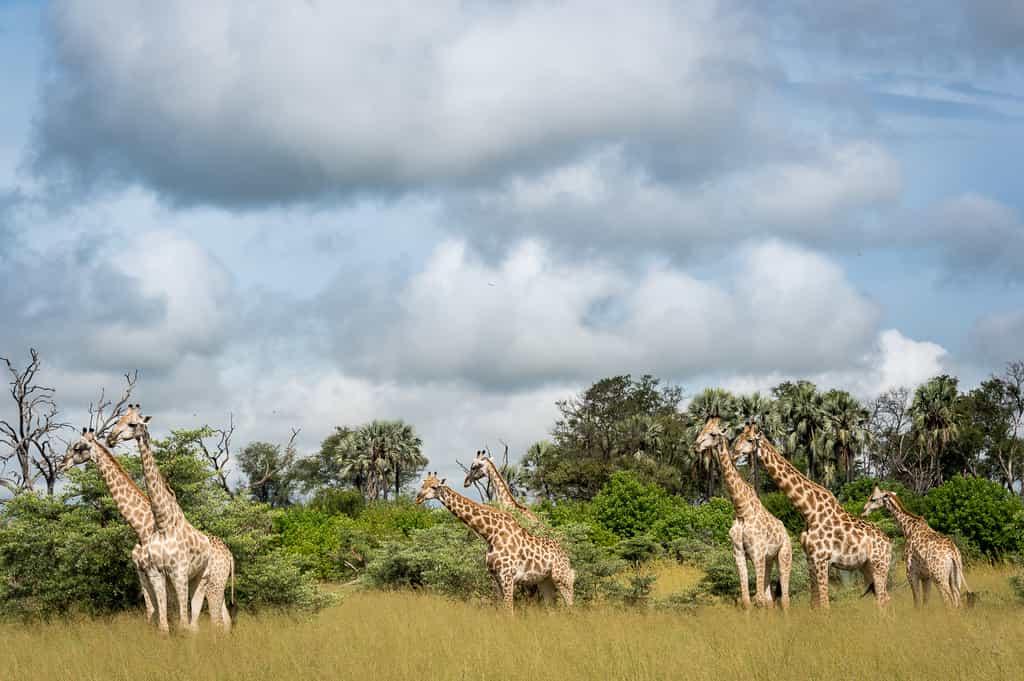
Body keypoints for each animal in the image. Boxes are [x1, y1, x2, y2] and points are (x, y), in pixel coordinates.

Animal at [106, 404, 235, 633]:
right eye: (118, 420)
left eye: (133, 424)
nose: (110, 438)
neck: (162, 523)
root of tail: (229, 554)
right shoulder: (152, 572)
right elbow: (163, 620)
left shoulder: (176, 573)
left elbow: (179, 621)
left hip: (211, 582)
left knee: (213, 620)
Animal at [415, 472, 574, 611]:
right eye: (423, 484)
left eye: (434, 487)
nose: (418, 498)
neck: (490, 534)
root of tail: (566, 555)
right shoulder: (495, 577)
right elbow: (500, 609)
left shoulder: (507, 575)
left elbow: (509, 610)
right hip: (545, 581)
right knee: (552, 608)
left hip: (562, 579)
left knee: (571, 606)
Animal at [696, 418, 791, 609]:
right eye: (702, 429)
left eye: (713, 434)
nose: (696, 446)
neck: (742, 511)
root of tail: (787, 533)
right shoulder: (739, 554)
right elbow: (746, 599)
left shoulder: (757, 553)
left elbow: (758, 599)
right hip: (769, 559)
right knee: (770, 599)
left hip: (784, 555)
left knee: (784, 599)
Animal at [734, 423, 892, 609]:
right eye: (738, 437)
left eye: (749, 439)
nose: (734, 452)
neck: (809, 510)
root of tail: (889, 542)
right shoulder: (811, 558)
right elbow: (814, 603)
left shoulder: (822, 559)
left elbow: (824, 604)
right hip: (866, 567)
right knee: (885, 598)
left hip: (880, 565)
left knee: (883, 599)